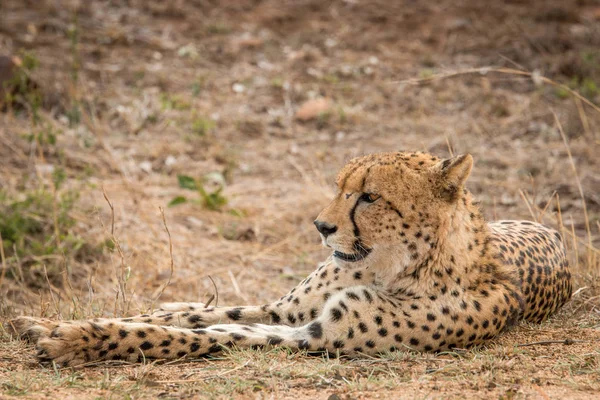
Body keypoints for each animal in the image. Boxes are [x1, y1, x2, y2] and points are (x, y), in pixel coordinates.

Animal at [8, 152, 572, 368]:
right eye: (341, 187)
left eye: (369, 197)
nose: (321, 227)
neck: (394, 266)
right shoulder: (292, 311)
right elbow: (201, 319)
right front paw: (55, 325)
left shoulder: (314, 333)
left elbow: (206, 335)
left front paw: (77, 339)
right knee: (198, 307)